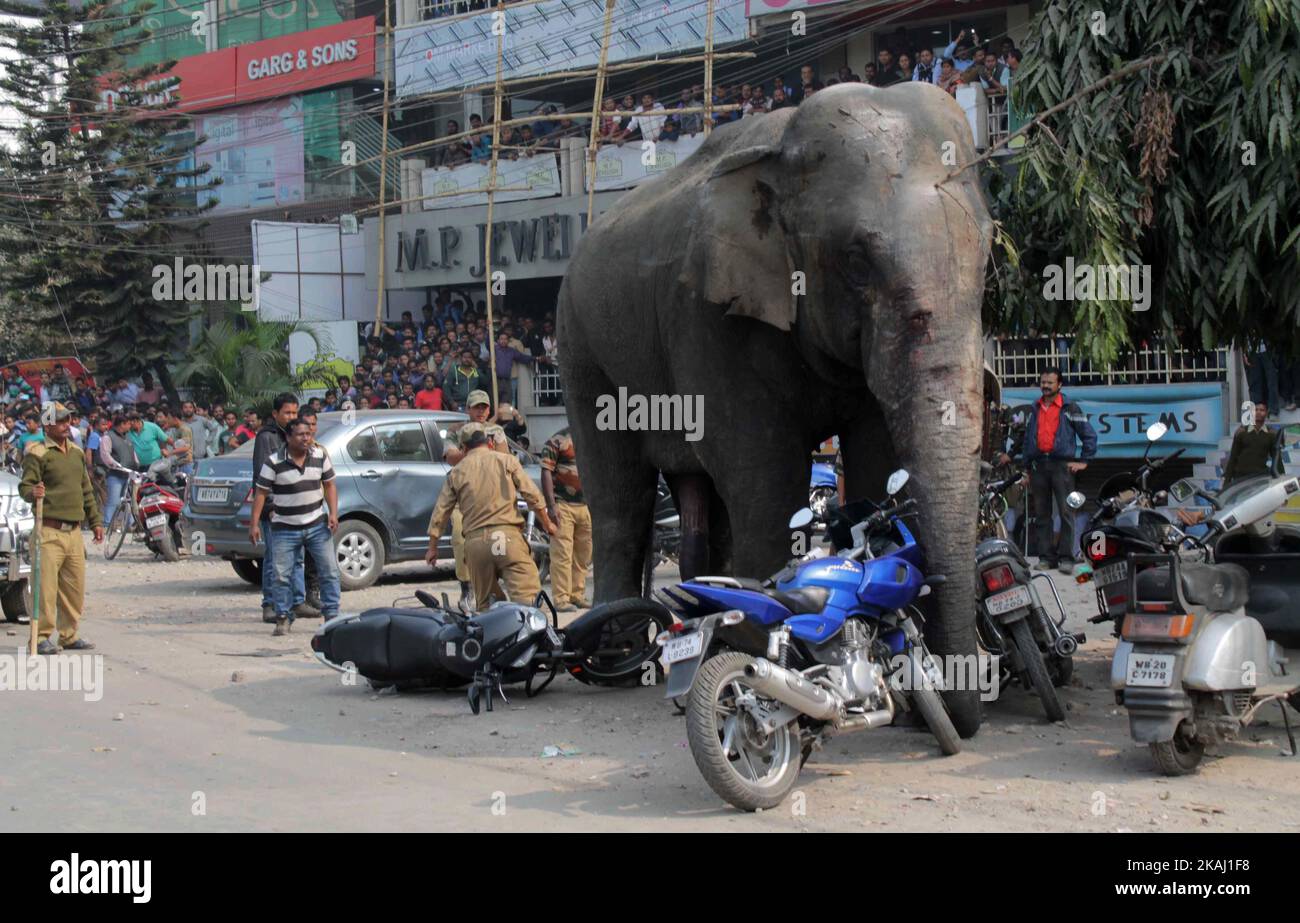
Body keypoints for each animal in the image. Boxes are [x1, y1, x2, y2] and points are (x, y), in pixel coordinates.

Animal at [557, 83, 993, 736]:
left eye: (989, 256)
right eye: (856, 260)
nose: (951, 714)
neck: (781, 149)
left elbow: (874, 455)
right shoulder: (709, 313)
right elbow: (761, 470)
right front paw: (765, 662)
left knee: (702, 502)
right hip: (581, 344)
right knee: (619, 496)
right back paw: (621, 657)